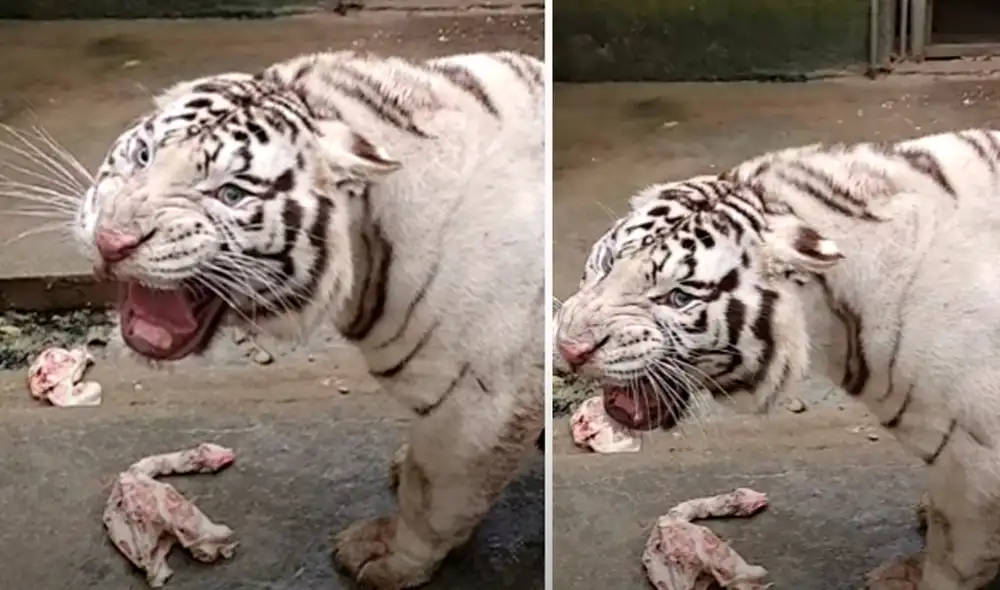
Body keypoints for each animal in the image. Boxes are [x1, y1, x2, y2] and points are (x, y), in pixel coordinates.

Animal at [72, 49, 545, 589]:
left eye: (231, 194)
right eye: (144, 155)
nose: (111, 241)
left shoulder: (479, 405)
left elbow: (432, 497)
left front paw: (388, 557)